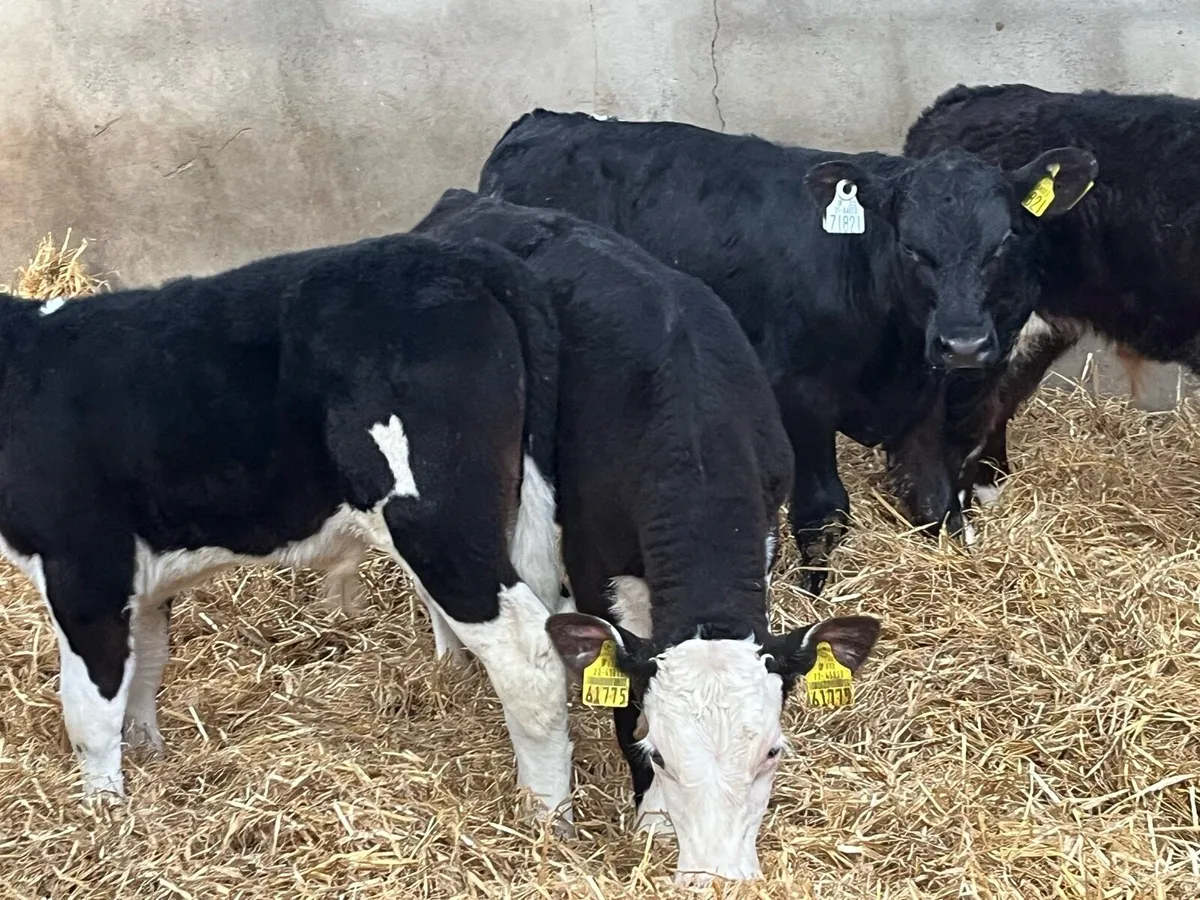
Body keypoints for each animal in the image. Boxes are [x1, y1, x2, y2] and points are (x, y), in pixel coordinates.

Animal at [0, 233, 581, 822]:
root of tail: (467, 256)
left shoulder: (81, 567)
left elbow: (89, 709)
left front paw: (103, 814)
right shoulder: (138, 575)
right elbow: (144, 667)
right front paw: (149, 761)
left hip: (437, 521)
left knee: (527, 652)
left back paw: (545, 818)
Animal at [411, 189, 882, 884]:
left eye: (773, 751)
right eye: (657, 754)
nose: (716, 879)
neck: (693, 425)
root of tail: (467, 200)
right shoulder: (595, 563)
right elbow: (625, 697)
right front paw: (655, 818)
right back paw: (451, 655)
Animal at [477, 109, 1096, 593]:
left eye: (1004, 240)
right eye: (911, 247)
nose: (963, 343)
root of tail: (541, 122)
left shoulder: (926, 402)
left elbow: (934, 499)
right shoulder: (799, 402)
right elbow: (824, 513)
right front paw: (816, 595)